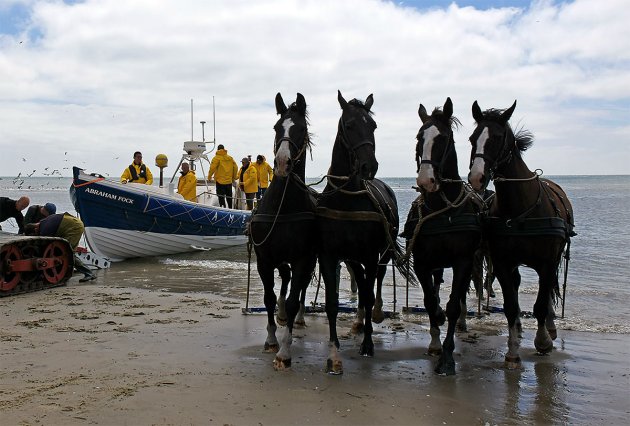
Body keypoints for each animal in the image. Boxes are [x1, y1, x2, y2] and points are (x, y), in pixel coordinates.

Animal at [316, 91, 410, 374]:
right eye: (349, 125)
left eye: (373, 126)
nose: (370, 166)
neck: (347, 198)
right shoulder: (329, 256)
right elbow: (332, 303)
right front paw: (334, 352)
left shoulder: (370, 254)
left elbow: (368, 294)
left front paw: (367, 343)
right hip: (353, 257)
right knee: (361, 280)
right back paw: (358, 321)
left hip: (383, 251)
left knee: (376, 280)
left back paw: (374, 315)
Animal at [404, 97, 484, 376]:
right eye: (419, 137)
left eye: (444, 138)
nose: (426, 181)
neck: (442, 208)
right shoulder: (422, 262)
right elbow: (431, 301)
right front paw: (436, 334)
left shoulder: (463, 261)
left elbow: (452, 305)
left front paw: (448, 358)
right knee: (437, 287)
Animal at [470, 100, 576, 370]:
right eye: (472, 138)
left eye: (498, 138)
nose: (477, 177)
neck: (519, 208)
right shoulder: (503, 263)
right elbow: (510, 306)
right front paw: (513, 350)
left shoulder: (546, 263)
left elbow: (540, 304)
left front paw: (543, 341)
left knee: (547, 293)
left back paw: (550, 327)